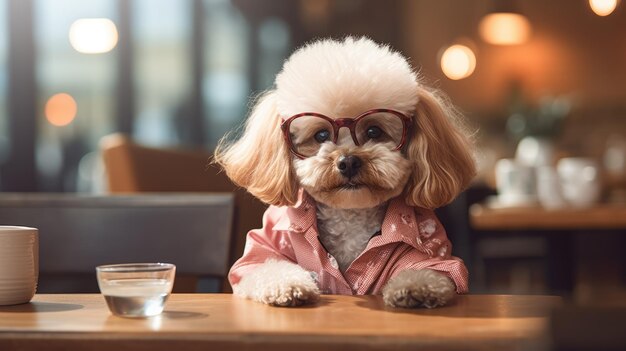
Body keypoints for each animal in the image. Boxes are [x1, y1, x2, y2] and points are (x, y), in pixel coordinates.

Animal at [214, 37, 472, 310]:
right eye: (321, 135)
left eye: (374, 132)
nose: (348, 162)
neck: (350, 217)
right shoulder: (263, 249)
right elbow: (268, 267)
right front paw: (288, 286)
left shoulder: (433, 249)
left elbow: (433, 271)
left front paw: (416, 287)